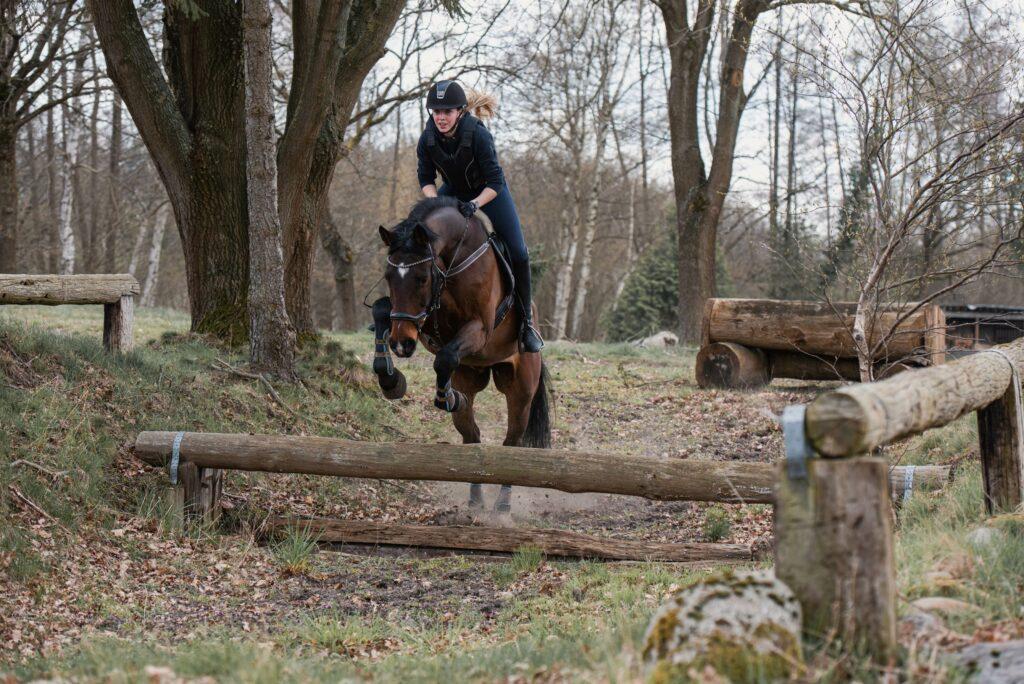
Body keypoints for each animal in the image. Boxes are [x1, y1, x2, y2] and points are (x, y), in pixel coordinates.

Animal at [372, 194, 552, 509]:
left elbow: (444, 358)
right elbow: (383, 310)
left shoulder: (479, 329)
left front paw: (446, 398)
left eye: (422, 277)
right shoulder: (421, 321)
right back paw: (476, 499)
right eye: (388, 276)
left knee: (512, 440)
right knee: (472, 437)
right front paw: (390, 380)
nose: (402, 344)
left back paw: (502, 505)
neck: (454, 262)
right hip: (470, 374)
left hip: (520, 388)